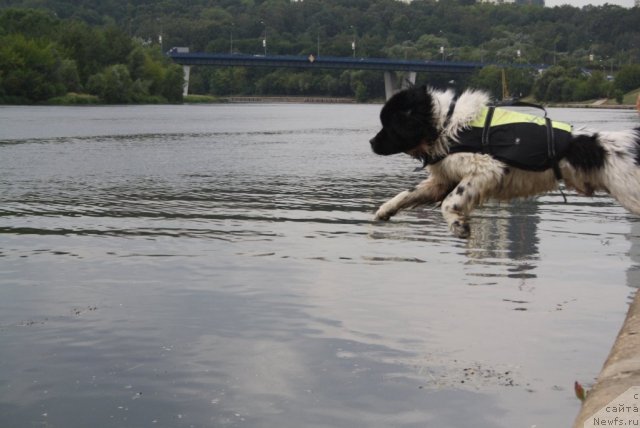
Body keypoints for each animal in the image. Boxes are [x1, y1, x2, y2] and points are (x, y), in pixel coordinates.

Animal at [370, 83, 640, 237]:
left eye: (390, 125)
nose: (371, 143)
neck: (445, 125)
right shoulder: (443, 179)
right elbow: (406, 194)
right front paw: (383, 211)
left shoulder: (485, 169)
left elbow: (450, 202)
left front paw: (458, 225)